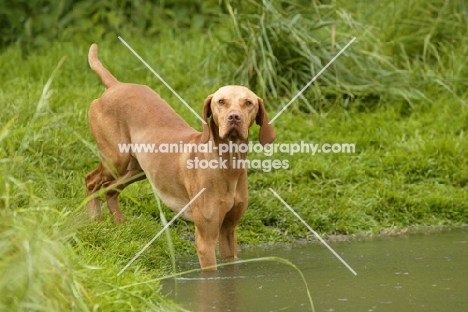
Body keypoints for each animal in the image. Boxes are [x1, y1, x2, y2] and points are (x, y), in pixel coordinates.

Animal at [85, 42, 276, 270]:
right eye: (221, 101)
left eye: (248, 103)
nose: (234, 117)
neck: (229, 163)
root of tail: (116, 85)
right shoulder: (205, 240)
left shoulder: (228, 231)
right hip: (116, 160)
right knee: (91, 180)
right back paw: (95, 221)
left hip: (137, 170)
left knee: (110, 189)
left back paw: (119, 224)